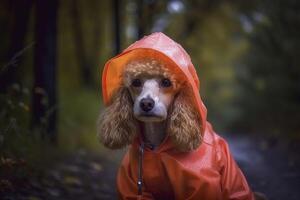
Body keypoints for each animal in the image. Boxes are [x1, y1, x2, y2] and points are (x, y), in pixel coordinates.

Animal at [96, 32, 264, 200]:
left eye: (166, 82)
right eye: (136, 82)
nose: (146, 104)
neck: (157, 147)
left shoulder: (202, 186)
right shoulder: (132, 187)